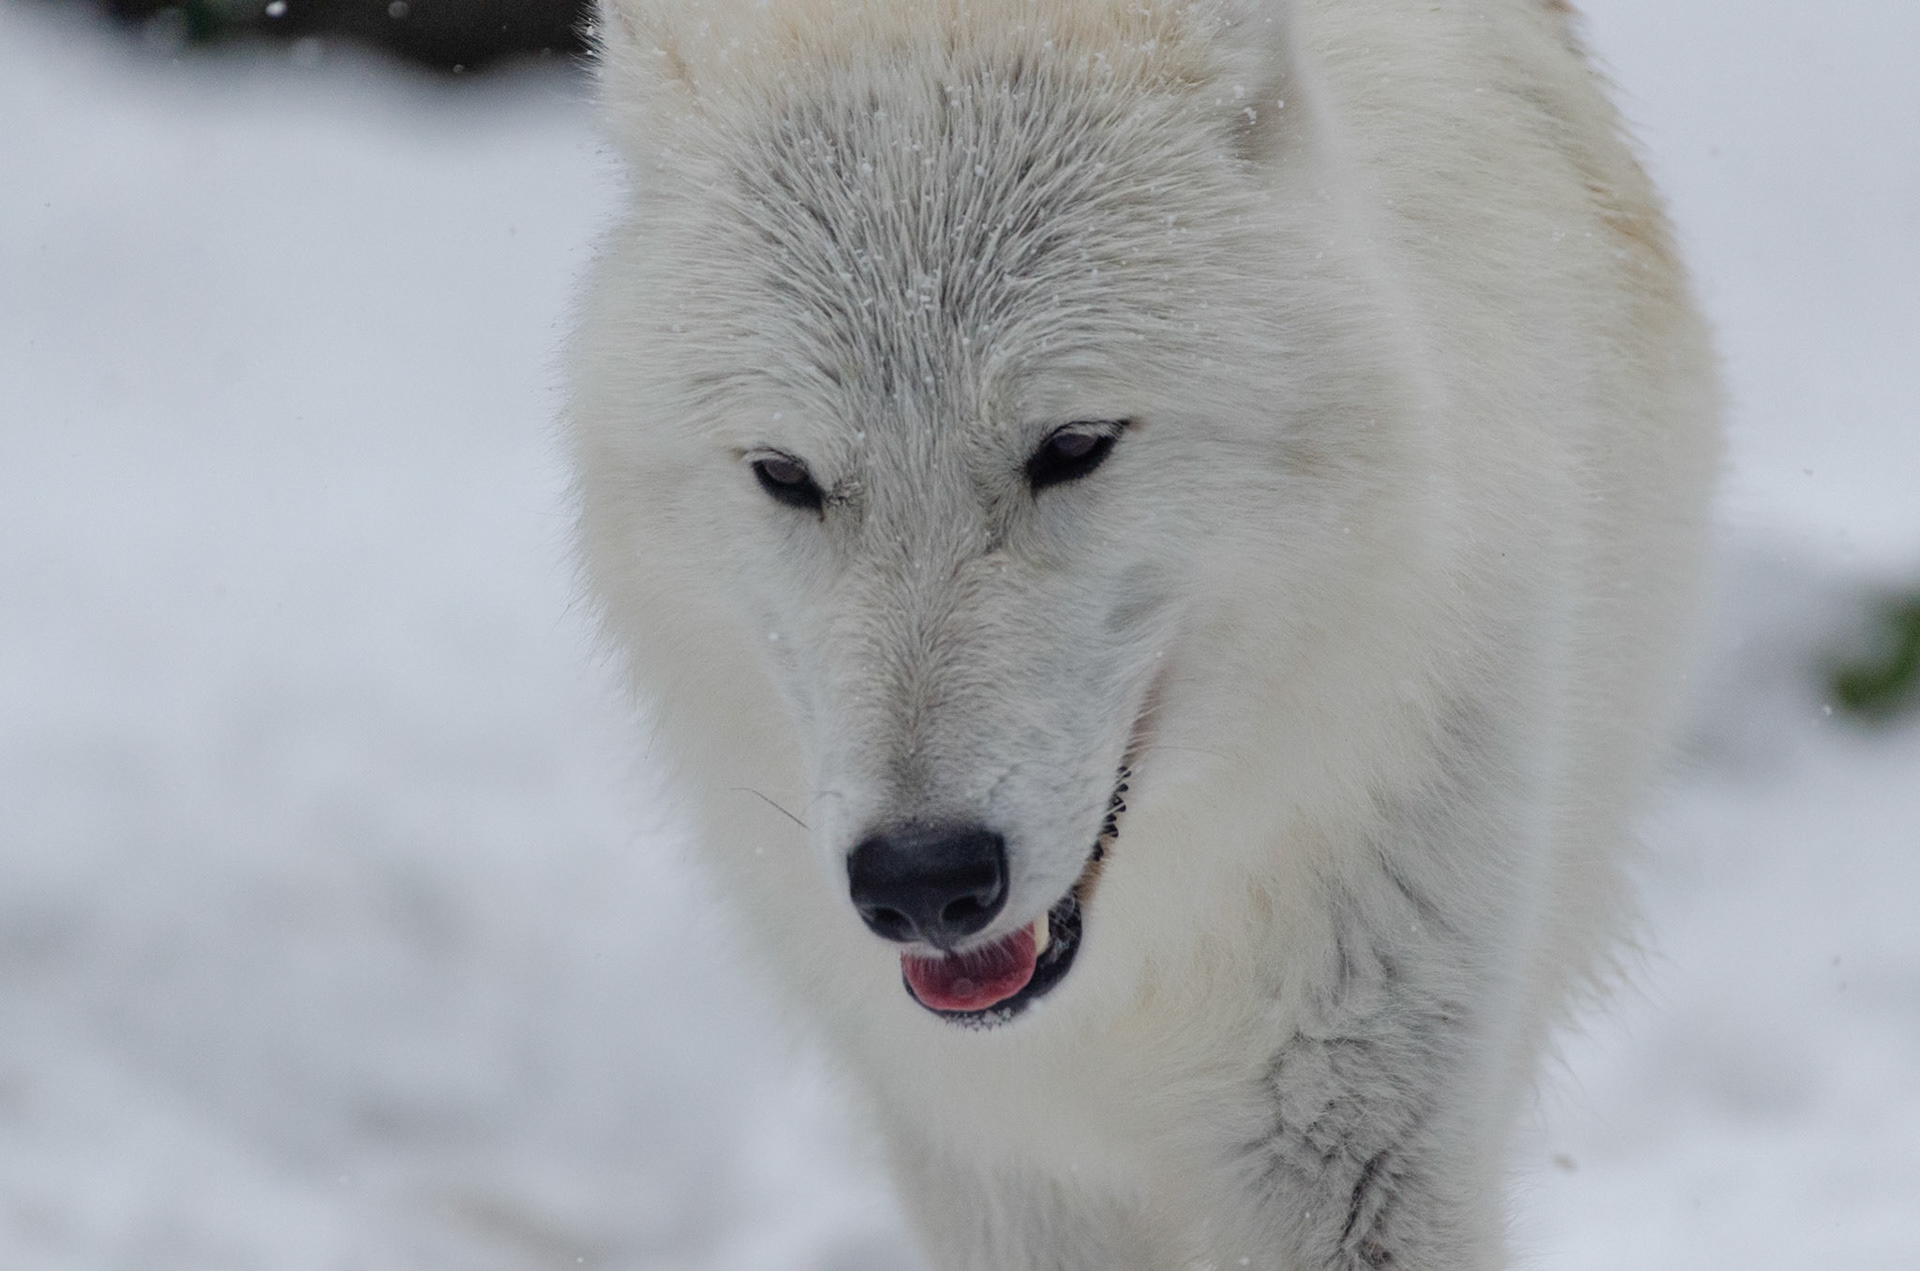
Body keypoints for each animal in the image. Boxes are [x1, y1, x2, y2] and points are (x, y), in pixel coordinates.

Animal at [567, 0, 1719, 1264]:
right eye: (786, 475)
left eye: (1073, 446)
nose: (922, 878)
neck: (1137, 955)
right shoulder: (986, 1152)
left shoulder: (1357, 1136)